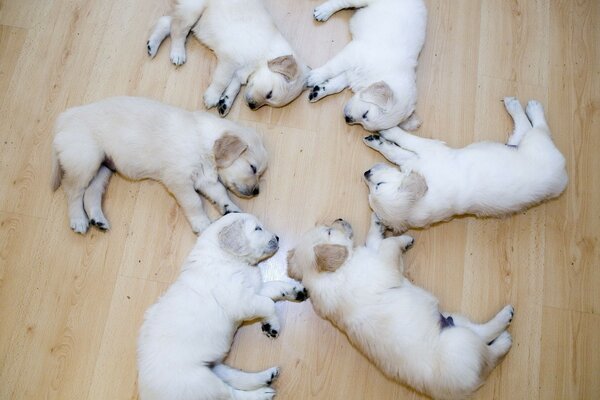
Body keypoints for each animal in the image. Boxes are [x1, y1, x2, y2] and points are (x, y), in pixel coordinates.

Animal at [51, 97, 268, 234]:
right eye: (253, 168)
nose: (256, 192)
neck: (203, 142)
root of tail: (64, 118)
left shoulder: (205, 179)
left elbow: (221, 192)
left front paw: (231, 208)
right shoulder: (179, 180)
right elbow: (194, 201)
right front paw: (201, 223)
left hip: (103, 168)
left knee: (91, 194)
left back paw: (98, 219)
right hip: (85, 161)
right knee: (72, 192)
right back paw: (78, 220)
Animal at [148, 0, 312, 115]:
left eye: (269, 101)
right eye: (269, 94)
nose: (252, 106)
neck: (263, 56)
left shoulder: (239, 73)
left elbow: (234, 86)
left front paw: (225, 102)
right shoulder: (230, 61)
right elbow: (222, 81)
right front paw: (213, 96)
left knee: (167, 21)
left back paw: (152, 45)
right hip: (193, 10)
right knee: (178, 29)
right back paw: (177, 53)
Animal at [288, 216, 512, 400]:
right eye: (329, 231)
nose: (339, 219)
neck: (327, 275)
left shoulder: (377, 257)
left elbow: (375, 241)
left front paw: (378, 223)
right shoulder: (385, 265)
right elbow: (387, 244)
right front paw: (402, 240)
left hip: (454, 321)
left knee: (481, 332)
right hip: (459, 344)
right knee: (489, 355)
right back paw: (505, 337)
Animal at [308, 0, 428, 131]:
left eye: (366, 125)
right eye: (366, 113)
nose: (347, 119)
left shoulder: (356, 73)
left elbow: (339, 83)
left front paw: (319, 90)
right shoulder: (353, 53)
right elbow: (332, 68)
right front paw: (315, 76)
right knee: (343, 2)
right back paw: (323, 11)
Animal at [360, 97, 568, 233]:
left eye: (379, 185)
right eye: (370, 195)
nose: (366, 172)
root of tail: (563, 177)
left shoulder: (430, 150)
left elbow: (403, 144)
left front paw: (385, 131)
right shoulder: (422, 158)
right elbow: (399, 152)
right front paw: (380, 138)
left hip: (535, 144)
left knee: (538, 128)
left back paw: (530, 107)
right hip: (521, 145)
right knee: (527, 129)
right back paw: (520, 106)